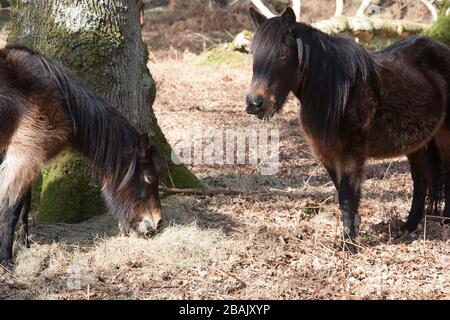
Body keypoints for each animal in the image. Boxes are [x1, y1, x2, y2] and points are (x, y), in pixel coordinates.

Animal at [0, 45, 165, 270]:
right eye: (149, 178)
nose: (157, 222)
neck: (63, 102)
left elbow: (23, 206)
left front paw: (25, 245)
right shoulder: (25, 156)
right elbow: (11, 207)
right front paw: (7, 260)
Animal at [246, 7, 450, 251]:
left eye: (282, 55)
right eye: (253, 54)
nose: (254, 103)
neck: (336, 93)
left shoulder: (352, 152)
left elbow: (347, 194)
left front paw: (349, 244)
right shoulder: (326, 153)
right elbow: (341, 191)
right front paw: (354, 229)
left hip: (445, 134)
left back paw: (445, 219)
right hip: (416, 142)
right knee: (421, 178)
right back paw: (408, 227)